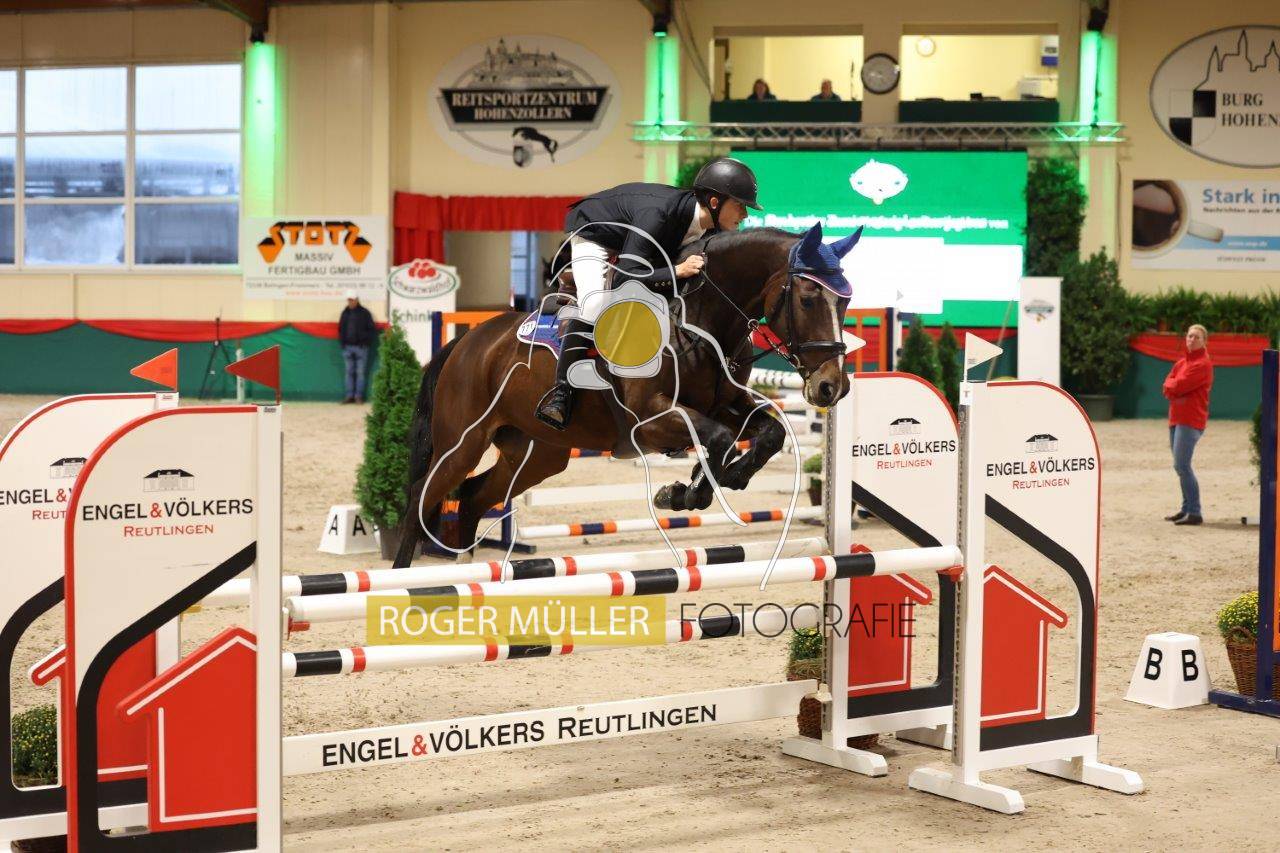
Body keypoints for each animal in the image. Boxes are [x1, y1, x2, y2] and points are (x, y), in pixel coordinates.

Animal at [391, 222, 861, 567]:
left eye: (845, 303)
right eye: (807, 299)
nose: (832, 386)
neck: (698, 320)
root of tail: (469, 342)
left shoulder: (726, 403)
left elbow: (768, 433)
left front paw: (721, 479)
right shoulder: (650, 420)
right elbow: (719, 437)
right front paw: (686, 491)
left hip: (536, 454)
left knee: (471, 498)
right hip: (463, 442)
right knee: (420, 500)